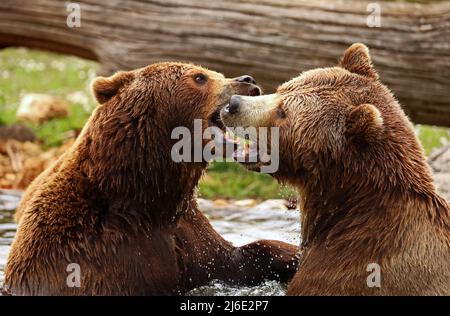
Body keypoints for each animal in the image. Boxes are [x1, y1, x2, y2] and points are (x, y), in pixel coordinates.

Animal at [4, 62, 298, 296]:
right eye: (199, 77)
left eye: (209, 72)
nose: (248, 80)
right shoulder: (91, 257)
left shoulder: (186, 231)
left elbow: (235, 259)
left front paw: (294, 256)